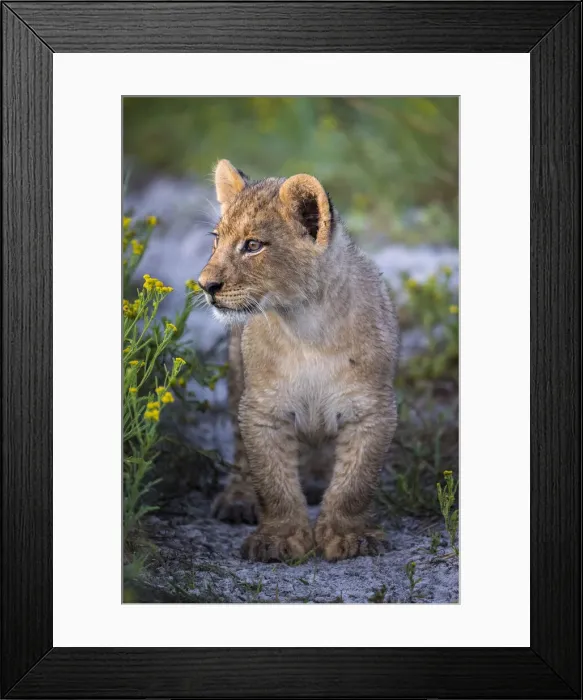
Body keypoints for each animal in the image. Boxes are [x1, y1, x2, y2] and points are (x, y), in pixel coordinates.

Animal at [198, 160, 399, 562]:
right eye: (216, 239)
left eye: (253, 245)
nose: (204, 285)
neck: (307, 326)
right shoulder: (262, 409)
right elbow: (273, 482)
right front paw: (278, 539)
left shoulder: (372, 409)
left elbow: (355, 484)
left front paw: (349, 536)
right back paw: (237, 499)